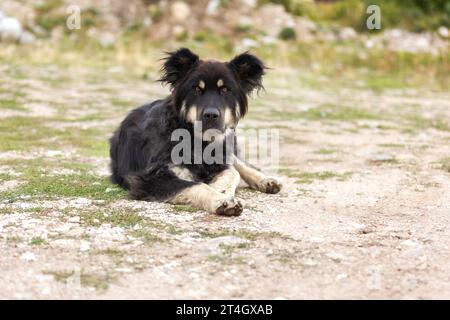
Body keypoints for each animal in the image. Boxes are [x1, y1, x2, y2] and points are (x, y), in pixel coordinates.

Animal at [110, 47, 282, 216]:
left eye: (225, 89)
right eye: (197, 89)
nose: (211, 115)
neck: (197, 140)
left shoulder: (220, 159)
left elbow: (232, 172)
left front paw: (221, 191)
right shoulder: (150, 178)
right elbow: (196, 185)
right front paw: (221, 199)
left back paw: (267, 181)